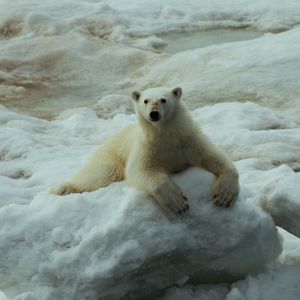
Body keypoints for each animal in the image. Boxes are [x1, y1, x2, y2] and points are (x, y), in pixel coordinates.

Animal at [55, 87, 239, 216]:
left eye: (163, 99)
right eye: (146, 100)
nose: (154, 113)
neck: (166, 136)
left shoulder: (189, 140)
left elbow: (215, 157)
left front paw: (224, 196)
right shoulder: (147, 148)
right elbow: (140, 171)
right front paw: (179, 202)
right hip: (111, 155)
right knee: (100, 173)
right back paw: (63, 188)